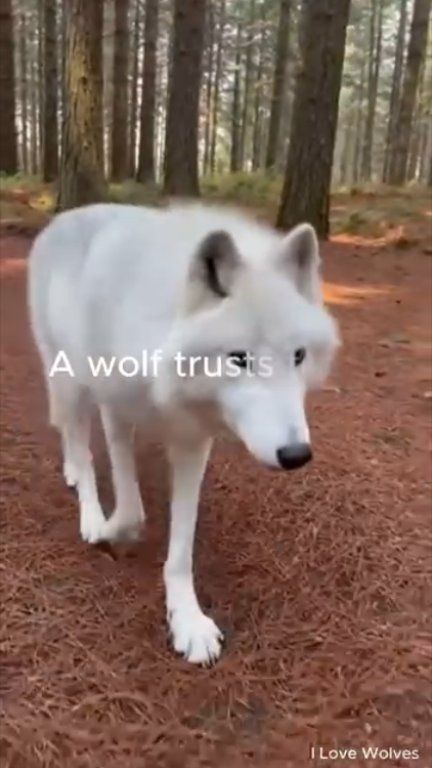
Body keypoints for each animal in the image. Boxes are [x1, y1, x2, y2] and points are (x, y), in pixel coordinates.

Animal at [28, 202, 339, 664]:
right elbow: (130, 507)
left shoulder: (194, 440)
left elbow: (181, 546)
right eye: (238, 359)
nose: (296, 454)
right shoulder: (116, 406)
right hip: (67, 378)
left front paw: (186, 620)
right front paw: (109, 529)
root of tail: (67, 214)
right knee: (78, 441)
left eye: (298, 356)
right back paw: (89, 511)